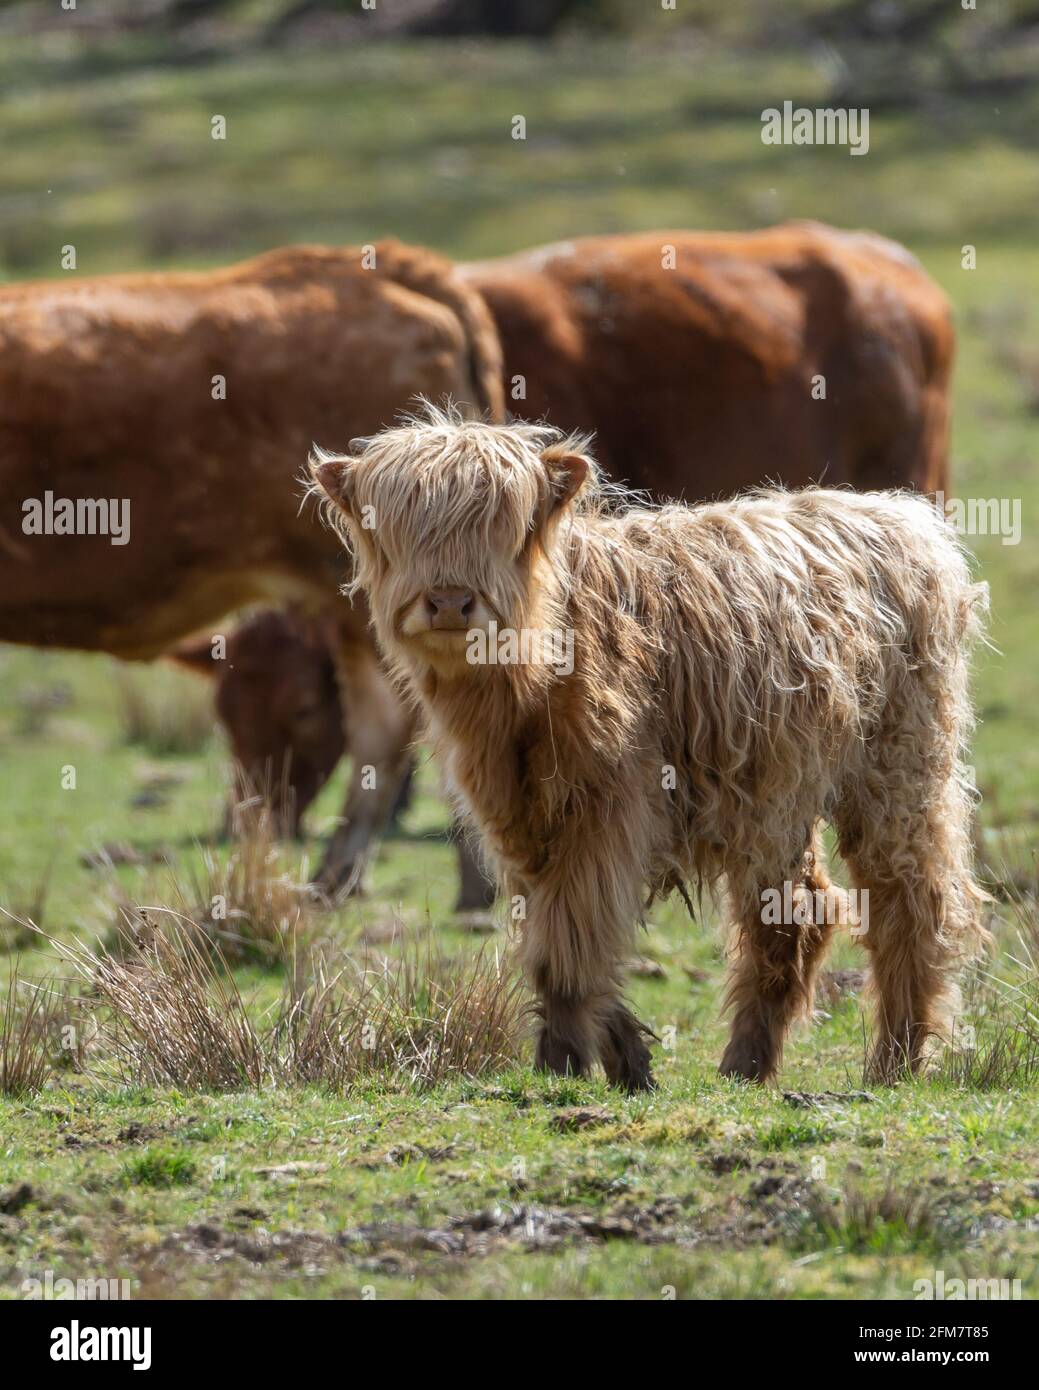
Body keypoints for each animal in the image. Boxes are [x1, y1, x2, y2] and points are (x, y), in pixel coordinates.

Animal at [310, 409, 989, 1090]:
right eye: (399, 527)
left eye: (505, 524)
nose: (450, 600)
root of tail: (894, 514)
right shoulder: (521, 821)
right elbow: (558, 940)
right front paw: (627, 1061)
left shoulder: (607, 809)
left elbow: (571, 945)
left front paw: (561, 1063)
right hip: (777, 793)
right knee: (798, 913)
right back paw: (748, 1066)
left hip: (897, 772)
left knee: (910, 904)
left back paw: (893, 1062)